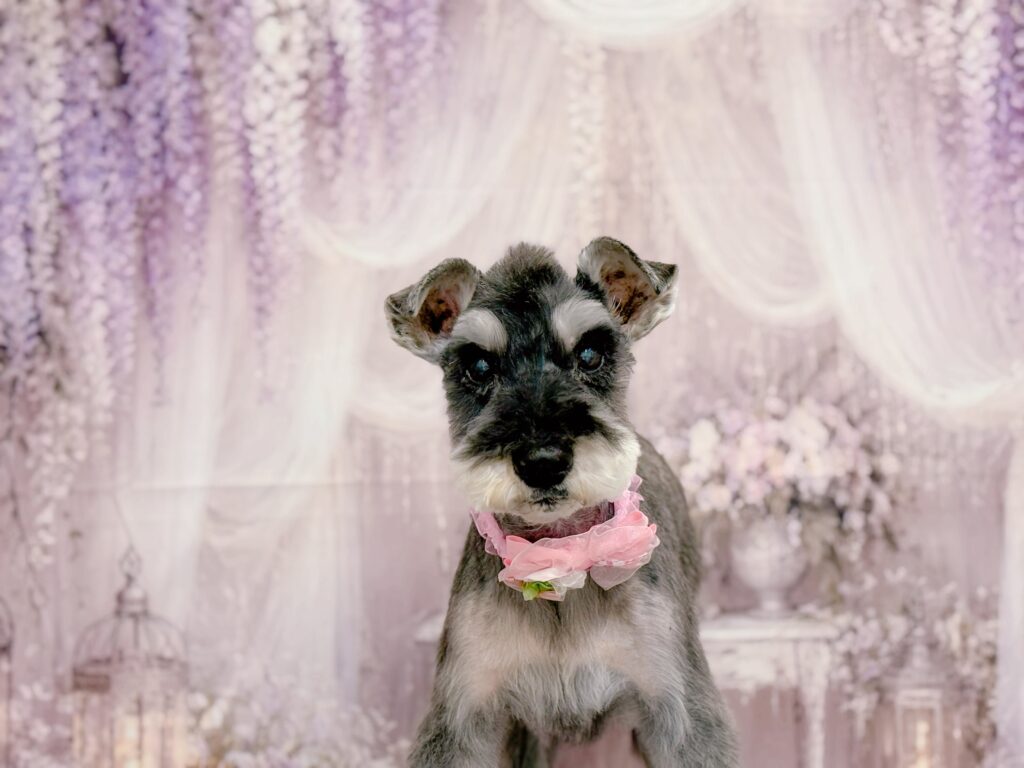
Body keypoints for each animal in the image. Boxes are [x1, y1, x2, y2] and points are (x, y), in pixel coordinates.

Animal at [386, 238, 738, 767]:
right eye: (478, 367)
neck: (561, 552)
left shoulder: (681, 713)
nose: (543, 461)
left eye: (590, 354)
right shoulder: (463, 716)